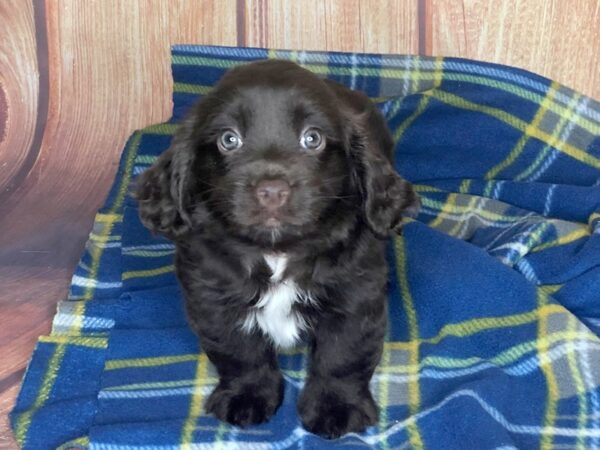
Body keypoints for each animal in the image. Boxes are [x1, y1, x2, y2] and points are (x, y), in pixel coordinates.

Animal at [135, 60, 418, 440]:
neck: (277, 250)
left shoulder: (355, 299)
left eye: (312, 138)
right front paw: (247, 396)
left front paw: (336, 408)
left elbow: (342, 357)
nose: (271, 190)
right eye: (229, 139)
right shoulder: (212, 299)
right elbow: (240, 353)